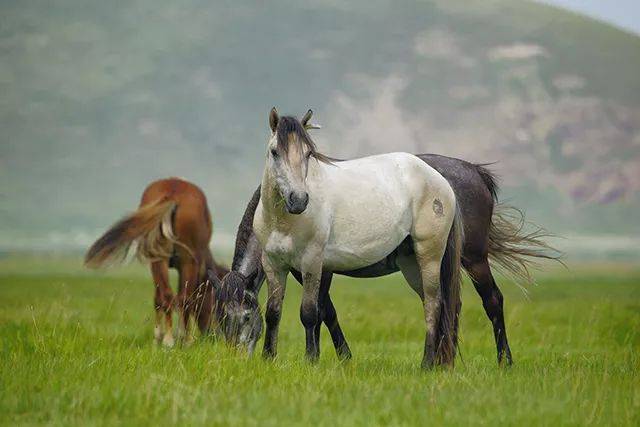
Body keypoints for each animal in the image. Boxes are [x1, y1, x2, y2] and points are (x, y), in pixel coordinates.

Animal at [84, 177, 226, 348]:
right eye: (217, 304)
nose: (216, 335)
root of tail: (173, 194)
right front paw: (181, 337)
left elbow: (159, 298)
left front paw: (159, 337)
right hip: (187, 260)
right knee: (183, 298)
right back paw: (182, 339)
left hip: (160, 259)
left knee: (167, 296)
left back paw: (168, 339)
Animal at [211, 155, 560, 366]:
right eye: (221, 319)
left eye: (246, 317)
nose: (236, 359)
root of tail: (474, 171)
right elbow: (327, 311)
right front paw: (342, 357)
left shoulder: (319, 267)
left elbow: (320, 311)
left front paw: (332, 357)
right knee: (449, 303)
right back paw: (444, 359)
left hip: (473, 259)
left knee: (492, 301)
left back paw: (504, 361)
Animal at [252, 108, 462, 370]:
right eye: (275, 152)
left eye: (308, 153)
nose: (298, 200)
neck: (283, 222)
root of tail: (441, 181)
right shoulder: (272, 264)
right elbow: (273, 312)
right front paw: (267, 358)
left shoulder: (312, 262)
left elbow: (309, 312)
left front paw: (310, 360)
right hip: (412, 264)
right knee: (430, 303)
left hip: (429, 256)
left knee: (433, 305)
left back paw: (426, 364)